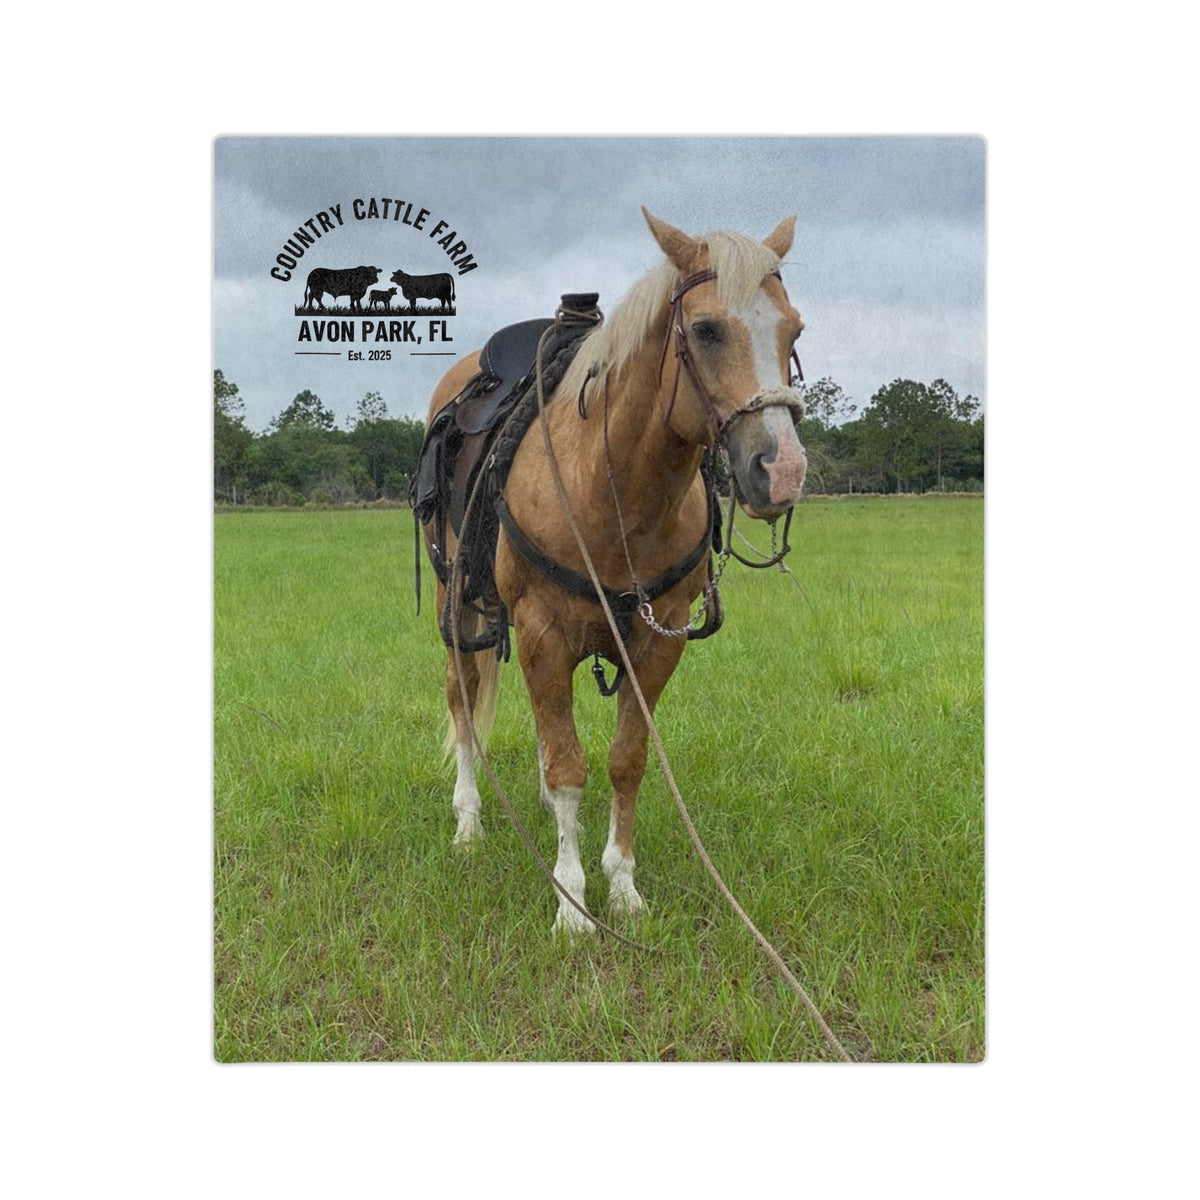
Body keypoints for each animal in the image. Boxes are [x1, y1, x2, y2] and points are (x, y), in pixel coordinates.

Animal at [422, 208, 808, 934]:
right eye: (706, 330)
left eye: (794, 329)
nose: (782, 471)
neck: (610, 487)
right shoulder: (541, 634)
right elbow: (569, 768)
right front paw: (572, 904)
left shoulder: (657, 642)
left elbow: (624, 762)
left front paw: (622, 886)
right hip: (456, 604)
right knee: (464, 700)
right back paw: (467, 824)